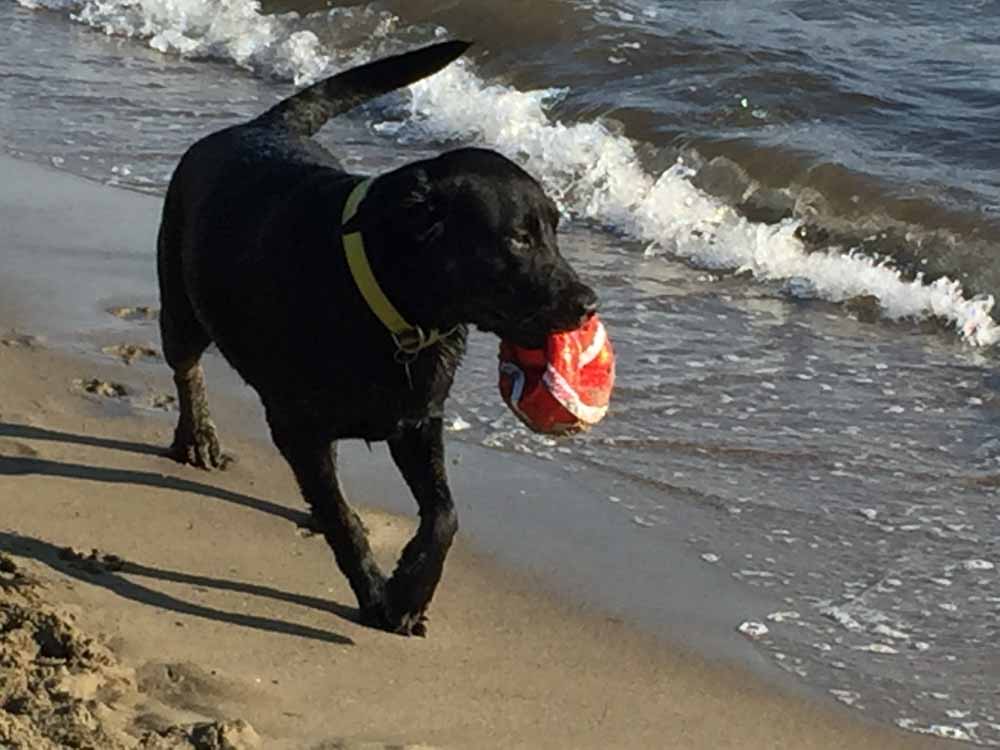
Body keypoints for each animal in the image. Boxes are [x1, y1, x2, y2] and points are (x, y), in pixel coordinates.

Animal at [156, 41, 592, 636]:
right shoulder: (297, 426)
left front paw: (410, 589)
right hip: (180, 301)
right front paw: (377, 594)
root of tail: (258, 125)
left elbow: (444, 513)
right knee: (185, 364)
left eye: (554, 230)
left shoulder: (417, 421)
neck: (390, 307)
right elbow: (344, 519)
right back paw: (197, 435)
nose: (588, 302)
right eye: (518, 238)